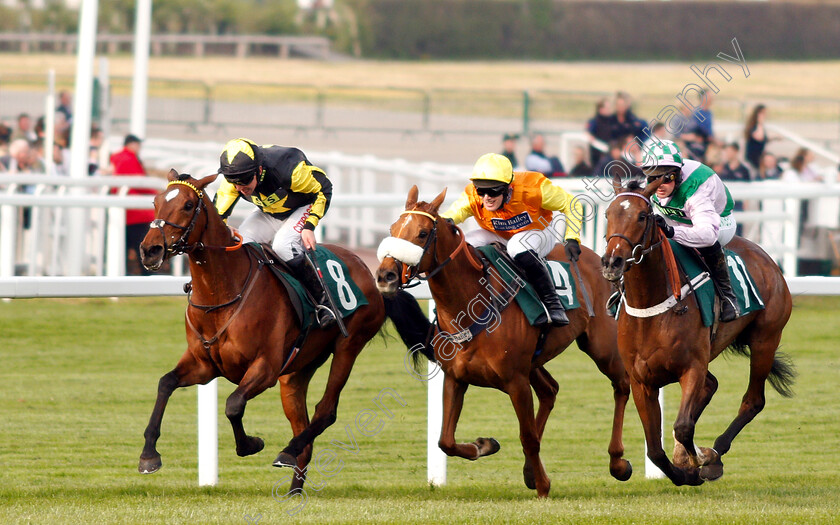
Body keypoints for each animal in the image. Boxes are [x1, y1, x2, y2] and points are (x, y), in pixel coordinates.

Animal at [139, 170, 388, 490]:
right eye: (156, 202)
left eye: (188, 205)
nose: (150, 250)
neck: (221, 294)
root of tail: (365, 266)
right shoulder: (203, 366)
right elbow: (165, 383)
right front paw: (149, 455)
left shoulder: (265, 368)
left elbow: (233, 404)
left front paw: (250, 444)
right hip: (297, 370)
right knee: (304, 428)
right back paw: (294, 485)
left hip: (349, 345)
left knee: (326, 410)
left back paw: (288, 450)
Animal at [376, 186, 632, 498]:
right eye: (392, 229)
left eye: (423, 233)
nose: (385, 276)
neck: (471, 303)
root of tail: (601, 260)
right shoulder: (456, 378)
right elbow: (445, 441)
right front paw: (484, 445)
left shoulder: (515, 381)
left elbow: (528, 436)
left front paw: (543, 487)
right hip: (536, 361)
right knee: (550, 390)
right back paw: (530, 471)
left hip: (602, 347)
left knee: (621, 386)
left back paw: (617, 462)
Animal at [600, 177, 792, 488]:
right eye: (608, 214)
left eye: (642, 216)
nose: (611, 263)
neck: (651, 307)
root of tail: (768, 259)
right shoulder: (641, 380)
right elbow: (655, 448)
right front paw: (683, 469)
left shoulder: (691, 367)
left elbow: (682, 426)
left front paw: (700, 460)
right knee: (711, 386)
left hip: (765, 339)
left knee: (753, 401)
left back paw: (715, 453)